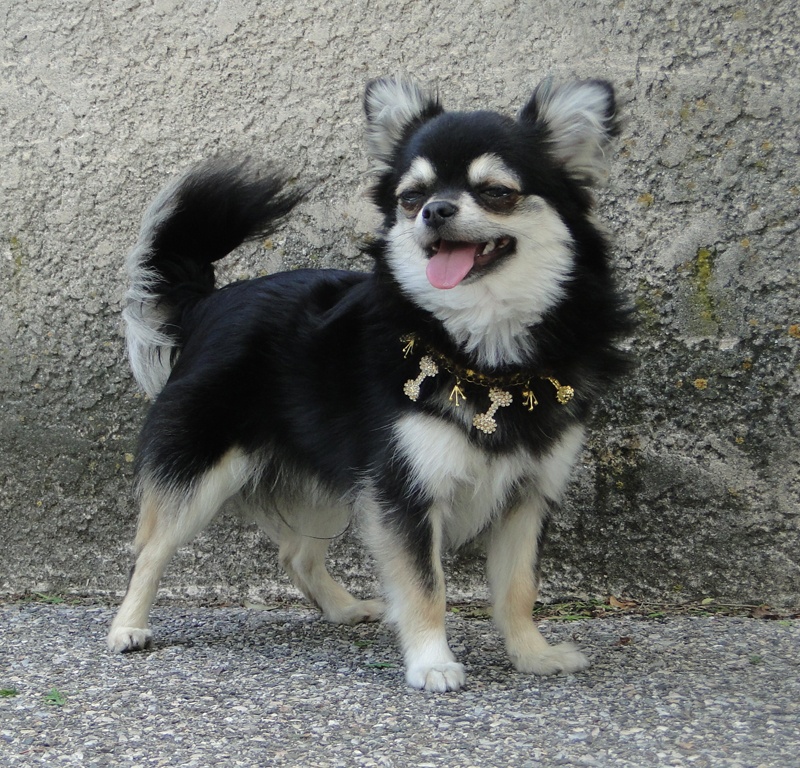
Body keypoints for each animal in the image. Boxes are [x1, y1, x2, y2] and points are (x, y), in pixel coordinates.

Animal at [108, 76, 631, 692]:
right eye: (411, 196)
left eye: (496, 192)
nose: (435, 209)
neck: (482, 352)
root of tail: (207, 304)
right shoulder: (404, 492)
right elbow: (426, 586)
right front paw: (432, 663)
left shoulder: (525, 494)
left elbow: (518, 588)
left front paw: (532, 654)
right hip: (201, 473)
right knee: (151, 549)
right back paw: (128, 627)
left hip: (335, 479)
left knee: (296, 556)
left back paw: (344, 608)